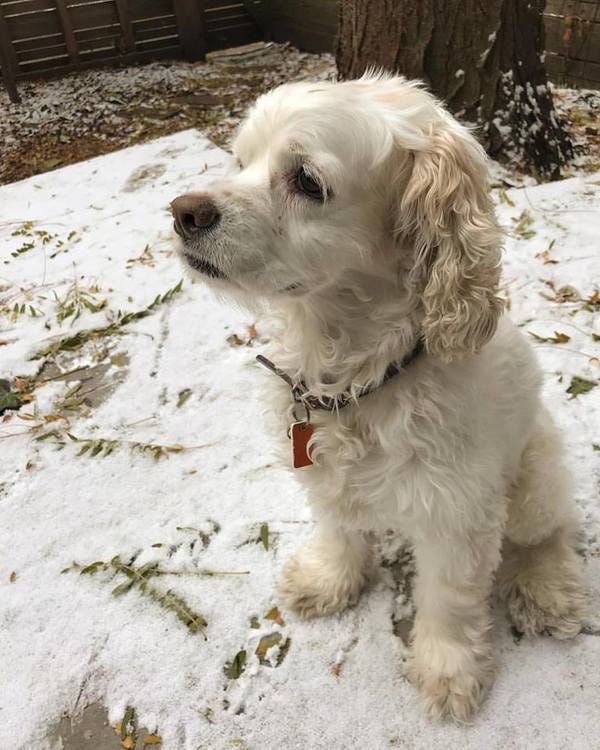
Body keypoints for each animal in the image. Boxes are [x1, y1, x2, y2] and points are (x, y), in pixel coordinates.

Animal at [171, 75, 584, 724]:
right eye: (240, 160)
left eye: (307, 180)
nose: (183, 212)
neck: (357, 373)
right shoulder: (325, 472)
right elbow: (340, 532)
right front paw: (327, 581)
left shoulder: (458, 510)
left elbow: (449, 599)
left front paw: (448, 673)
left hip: (535, 479)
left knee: (550, 532)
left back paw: (547, 592)